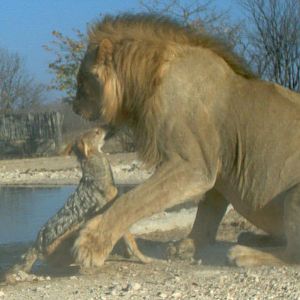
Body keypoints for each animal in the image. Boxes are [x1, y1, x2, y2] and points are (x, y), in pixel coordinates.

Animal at [72, 14, 300, 268]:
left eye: (81, 80)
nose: (73, 106)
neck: (147, 79)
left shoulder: (193, 165)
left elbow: (133, 199)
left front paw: (91, 244)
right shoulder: (217, 170)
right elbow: (206, 213)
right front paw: (187, 245)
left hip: (294, 195)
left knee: (293, 253)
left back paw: (244, 253)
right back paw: (251, 237)